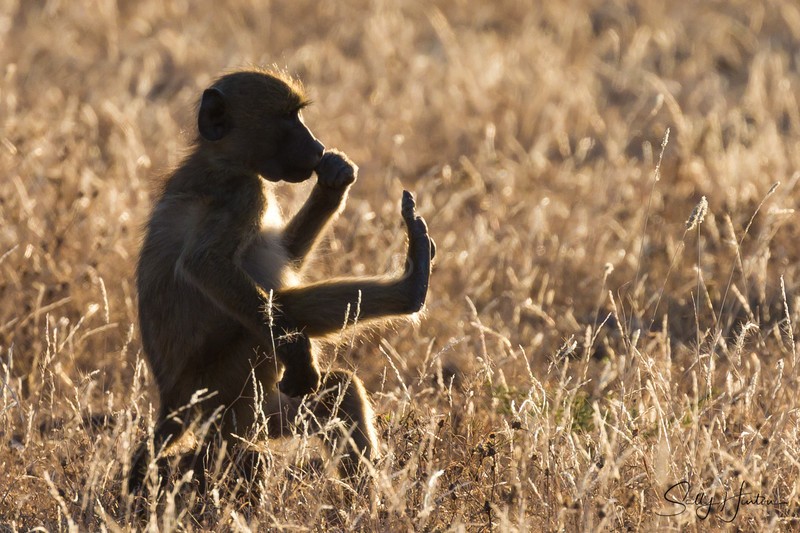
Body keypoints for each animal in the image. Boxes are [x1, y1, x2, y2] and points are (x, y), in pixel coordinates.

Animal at [129, 68, 434, 493]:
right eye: (289, 117)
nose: (317, 146)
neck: (223, 157)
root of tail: (170, 405)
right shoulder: (241, 194)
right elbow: (205, 264)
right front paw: (298, 353)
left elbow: (287, 252)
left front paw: (333, 181)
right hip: (218, 389)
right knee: (282, 311)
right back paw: (411, 288)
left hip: (243, 419)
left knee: (335, 394)